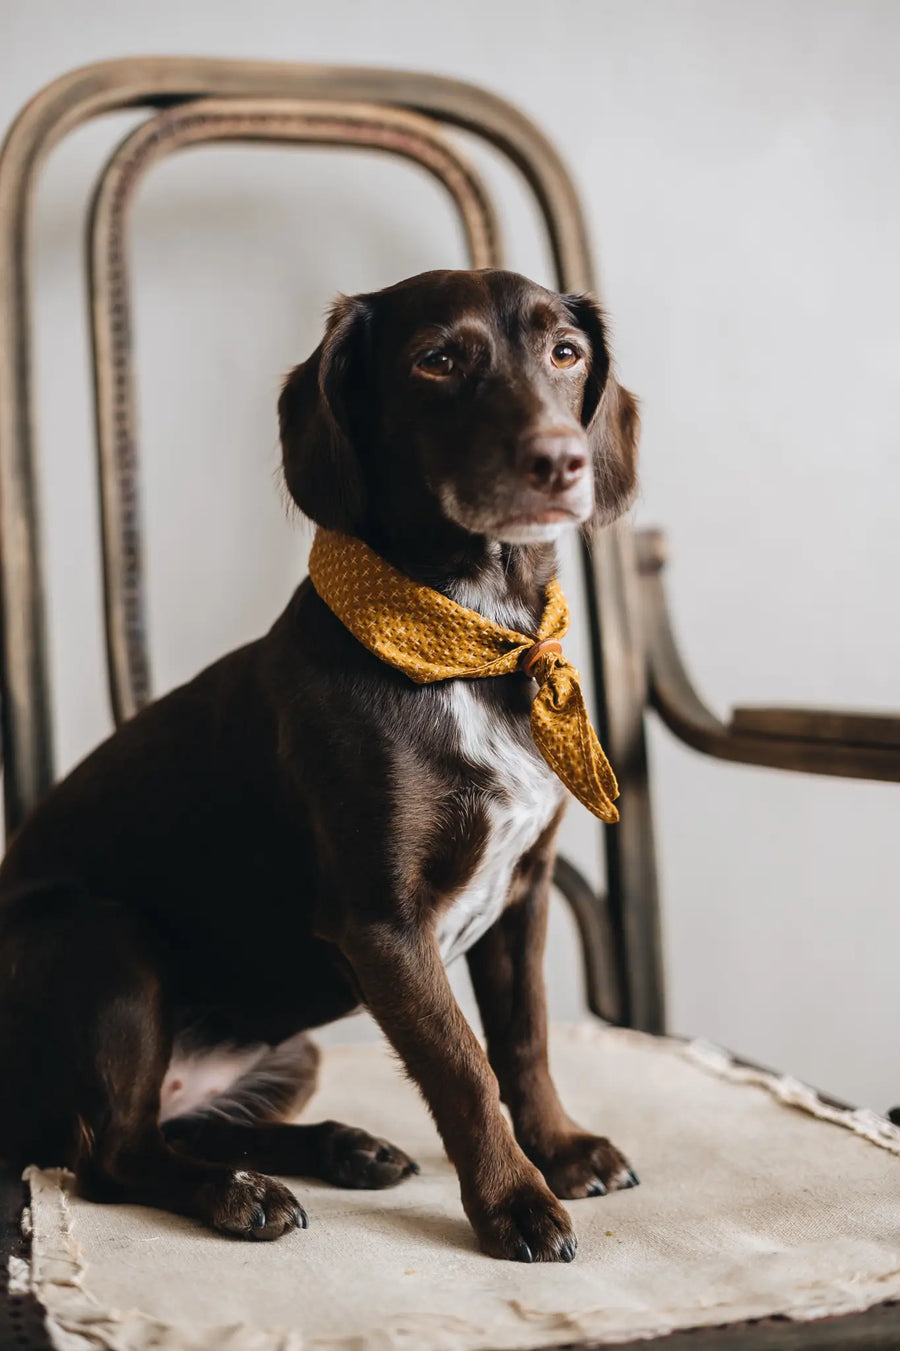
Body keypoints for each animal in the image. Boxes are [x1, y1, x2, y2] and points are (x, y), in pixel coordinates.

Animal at [0, 268, 637, 1259]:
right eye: (436, 360)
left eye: (565, 353)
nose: (561, 458)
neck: (470, 643)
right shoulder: (382, 925)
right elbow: (462, 1064)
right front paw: (515, 1202)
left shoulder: (523, 893)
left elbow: (524, 1040)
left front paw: (562, 1151)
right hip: (105, 938)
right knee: (111, 1153)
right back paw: (239, 1194)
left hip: (285, 1046)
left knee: (185, 1122)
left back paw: (340, 1147)